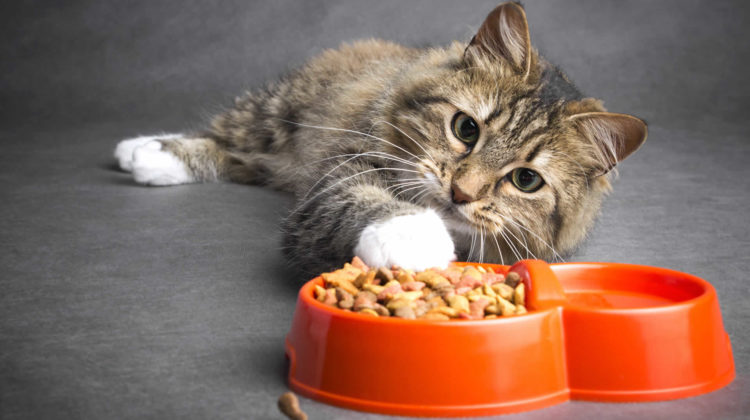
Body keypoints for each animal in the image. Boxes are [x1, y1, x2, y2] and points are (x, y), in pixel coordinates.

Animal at [113, 2, 648, 276]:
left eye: (525, 180)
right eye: (466, 129)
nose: (461, 193)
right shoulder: (337, 176)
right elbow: (364, 201)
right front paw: (411, 235)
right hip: (277, 112)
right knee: (224, 137)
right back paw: (145, 152)